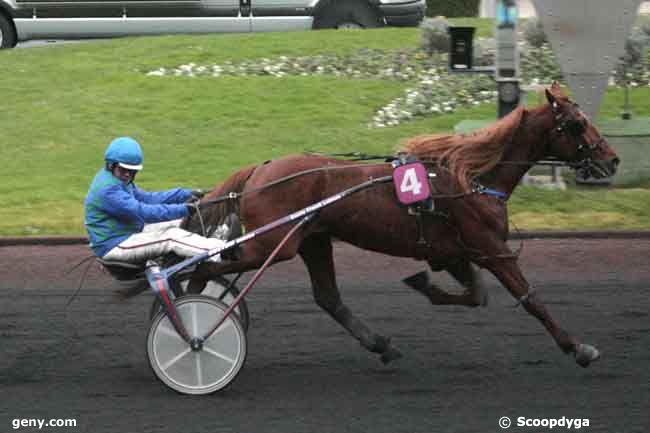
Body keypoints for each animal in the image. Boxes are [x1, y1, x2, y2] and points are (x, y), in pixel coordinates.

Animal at [180, 80, 616, 364]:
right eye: (577, 124)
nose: (611, 160)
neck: (472, 179)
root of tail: (260, 170)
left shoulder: (455, 252)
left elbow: (476, 295)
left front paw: (423, 284)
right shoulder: (492, 249)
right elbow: (531, 298)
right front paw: (578, 348)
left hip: (313, 241)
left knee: (328, 297)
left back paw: (380, 344)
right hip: (273, 245)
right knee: (204, 266)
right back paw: (190, 320)